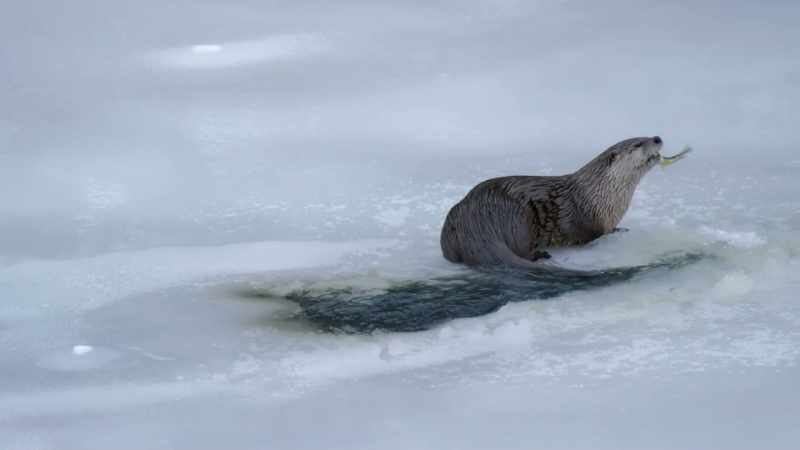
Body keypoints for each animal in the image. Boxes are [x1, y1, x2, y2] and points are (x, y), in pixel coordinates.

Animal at [440, 136, 664, 267]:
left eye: (646, 136)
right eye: (637, 144)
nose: (657, 138)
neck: (599, 197)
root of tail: (474, 224)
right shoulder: (585, 220)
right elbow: (589, 235)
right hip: (519, 217)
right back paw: (541, 255)